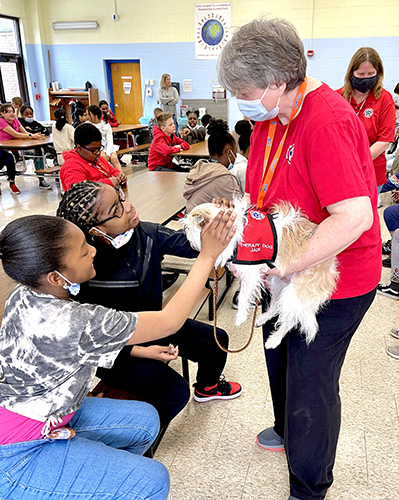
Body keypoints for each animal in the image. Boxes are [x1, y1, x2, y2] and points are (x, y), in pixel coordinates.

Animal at [184, 198, 340, 348]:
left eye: (188, 228)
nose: (185, 234)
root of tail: (330, 266)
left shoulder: (250, 274)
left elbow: (243, 296)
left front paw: (240, 316)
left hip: (294, 294)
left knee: (289, 320)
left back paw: (275, 339)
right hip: (278, 283)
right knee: (275, 306)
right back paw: (263, 318)